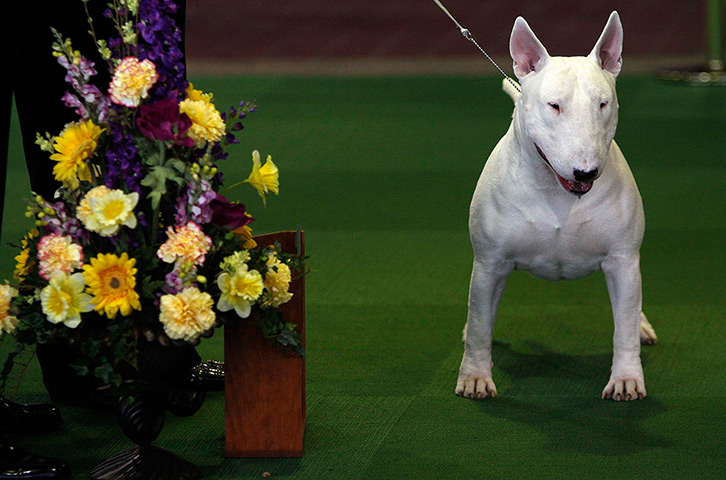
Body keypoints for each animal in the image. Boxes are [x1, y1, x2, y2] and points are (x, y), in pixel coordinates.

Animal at [460, 11, 660, 402]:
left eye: (603, 104)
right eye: (554, 105)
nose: (586, 172)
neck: (558, 195)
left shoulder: (622, 260)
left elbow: (623, 328)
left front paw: (627, 379)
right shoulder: (490, 262)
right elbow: (480, 326)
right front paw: (475, 377)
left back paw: (642, 326)